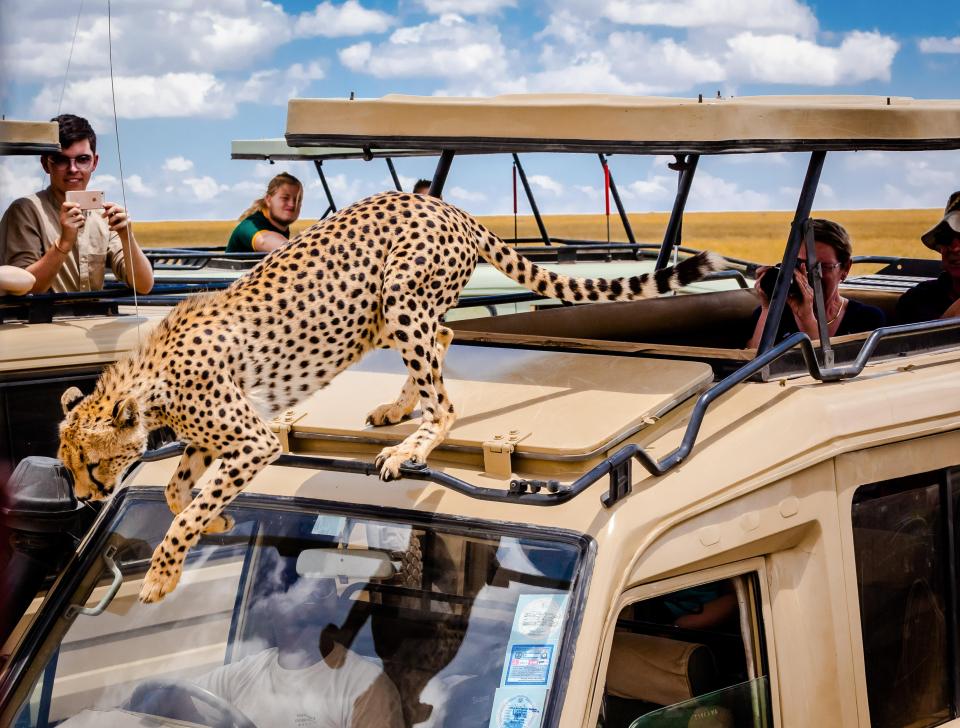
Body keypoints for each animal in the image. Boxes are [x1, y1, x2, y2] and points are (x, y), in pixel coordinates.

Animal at [58, 189, 720, 604]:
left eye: (91, 463)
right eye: (69, 469)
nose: (88, 500)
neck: (149, 382)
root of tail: (445, 204)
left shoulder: (252, 440)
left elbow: (183, 510)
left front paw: (161, 574)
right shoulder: (209, 440)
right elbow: (178, 492)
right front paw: (216, 517)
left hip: (400, 292)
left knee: (445, 395)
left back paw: (412, 444)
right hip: (381, 313)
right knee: (445, 336)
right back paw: (399, 408)